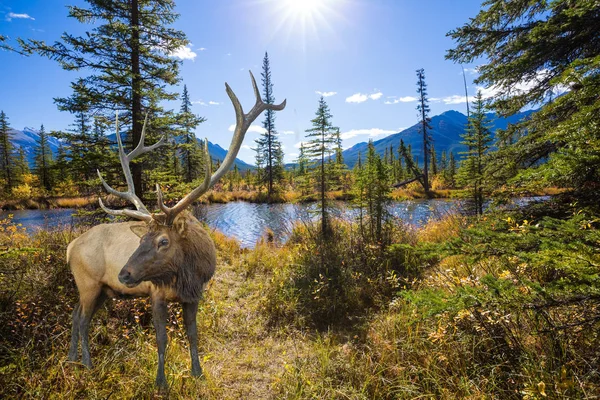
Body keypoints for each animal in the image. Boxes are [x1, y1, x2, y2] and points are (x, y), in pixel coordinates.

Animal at [65, 72, 286, 388]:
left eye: (163, 241)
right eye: (142, 239)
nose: (125, 274)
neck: (186, 273)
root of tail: (69, 247)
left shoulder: (195, 295)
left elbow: (193, 335)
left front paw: (198, 373)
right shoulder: (156, 293)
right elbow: (162, 339)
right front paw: (161, 381)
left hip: (102, 291)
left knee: (74, 315)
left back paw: (71, 359)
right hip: (89, 283)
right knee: (83, 321)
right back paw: (87, 363)